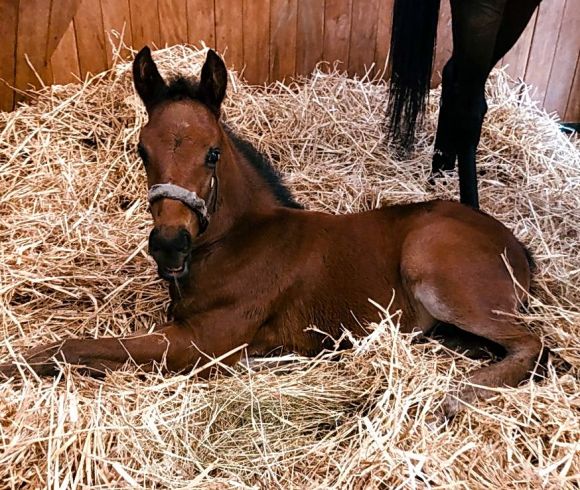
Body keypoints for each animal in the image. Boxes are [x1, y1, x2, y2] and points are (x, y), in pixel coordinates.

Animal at [0, 47, 548, 416]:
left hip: (435, 272)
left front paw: (15, 365)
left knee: (534, 343)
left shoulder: (198, 345)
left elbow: (78, 347)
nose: (169, 244)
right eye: (141, 150)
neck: (237, 243)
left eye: (212, 153)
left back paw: (458, 397)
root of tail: (513, 243)